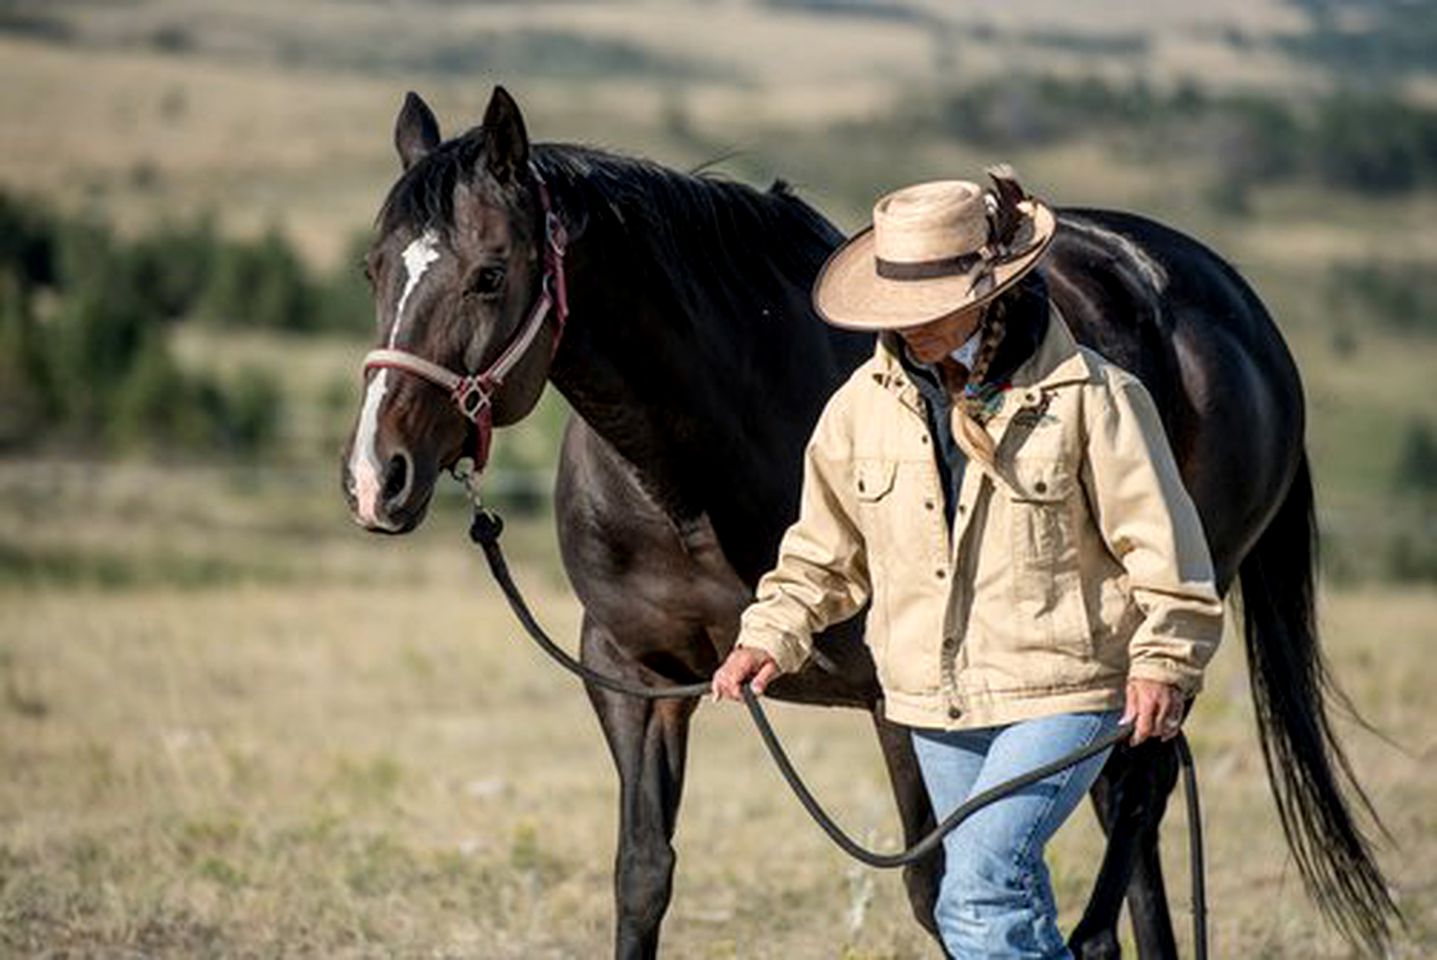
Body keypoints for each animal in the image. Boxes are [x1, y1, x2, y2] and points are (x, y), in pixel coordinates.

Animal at [336, 86, 1391, 954]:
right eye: (375, 270)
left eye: (488, 274)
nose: (375, 477)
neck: (697, 465)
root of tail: (1227, 300)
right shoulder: (633, 678)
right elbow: (641, 877)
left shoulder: (901, 698)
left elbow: (933, 890)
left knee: (1133, 796)